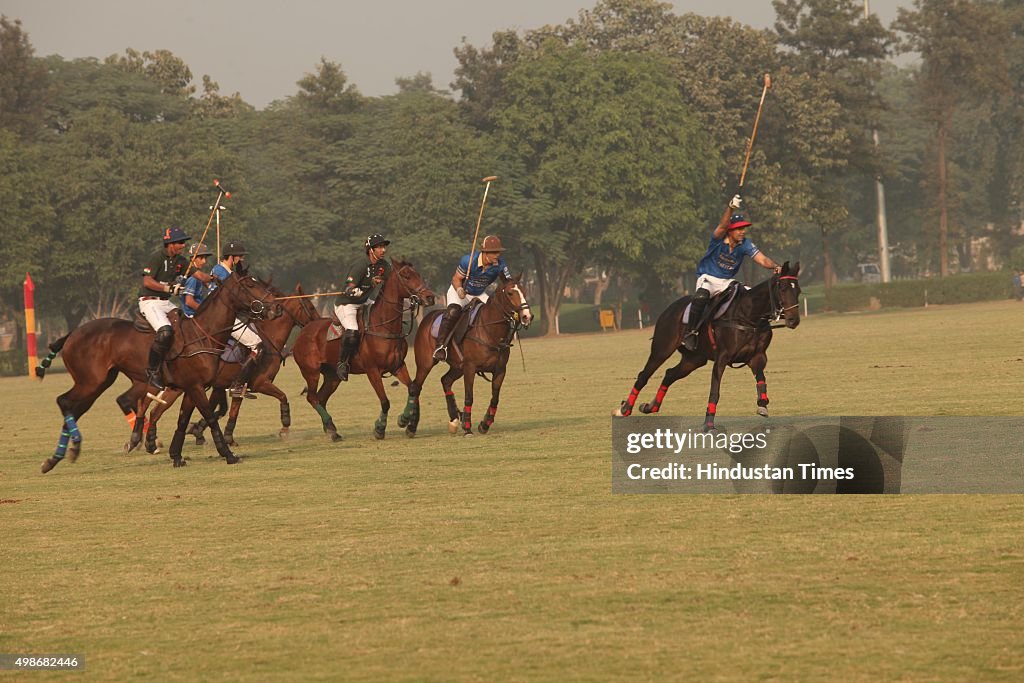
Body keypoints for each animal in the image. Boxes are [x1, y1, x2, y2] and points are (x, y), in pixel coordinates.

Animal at [36, 270, 280, 473]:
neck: (204, 334)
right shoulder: (195, 386)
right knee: (64, 402)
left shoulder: (190, 387)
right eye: (250, 284)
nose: (275, 308)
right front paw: (228, 454)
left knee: (75, 408)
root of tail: (72, 333)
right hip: (90, 381)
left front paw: (176, 456)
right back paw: (73, 447)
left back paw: (56, 458)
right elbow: (210, 417)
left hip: (99, 382)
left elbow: (182, 420)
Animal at [121, 282, 319, 454]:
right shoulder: (259, 382)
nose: (319, 322)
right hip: (162, 384)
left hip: (175, 387)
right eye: (310, 306)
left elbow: (231, 411)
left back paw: (146, 441)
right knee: (142, 403)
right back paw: (138, 439)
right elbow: (283, 396)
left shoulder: (236, 385)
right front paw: (285, 425)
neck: (269, 339)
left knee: (153, 410)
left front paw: (224, 436)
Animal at [290, 258, 434, 444]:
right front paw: (379, 429)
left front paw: (404, 420)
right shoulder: (372, 371)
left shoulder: (397, 366)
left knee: (321, 397)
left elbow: (414, 389)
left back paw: (331, 430)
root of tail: (304, 329)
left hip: (332, 375)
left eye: (419, 274)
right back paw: (331, 428)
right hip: (311, 371)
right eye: (406, 276)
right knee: (312, 397)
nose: (430, 297)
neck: (384, 326)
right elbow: (385, 401)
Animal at [405, 276, 536, 438]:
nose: (527, 316)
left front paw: (484, 424)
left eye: (524, 291)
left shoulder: (500, 370)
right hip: (426, 363)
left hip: (457, 366)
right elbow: (469, 397)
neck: (490, 331)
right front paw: (467, 428)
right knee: (416, 386)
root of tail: (427, 318)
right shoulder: (470, 368)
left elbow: (495, 398)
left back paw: (454, 419)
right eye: (510, 293)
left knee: (445, 380)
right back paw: (411, 427)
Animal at [610, 259, 802, 430]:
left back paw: (650, 406)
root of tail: (668, 309)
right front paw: (709, 424)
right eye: (783, 288)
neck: (749, 317)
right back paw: (624, 409)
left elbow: (761, 379)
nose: (794, 320)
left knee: (670, 374)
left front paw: (762, 405)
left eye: (798, 290)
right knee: (644, 375)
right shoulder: (722, 358)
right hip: (662, 348)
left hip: (694, 358)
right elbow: (715, 391)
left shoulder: (757, 356)